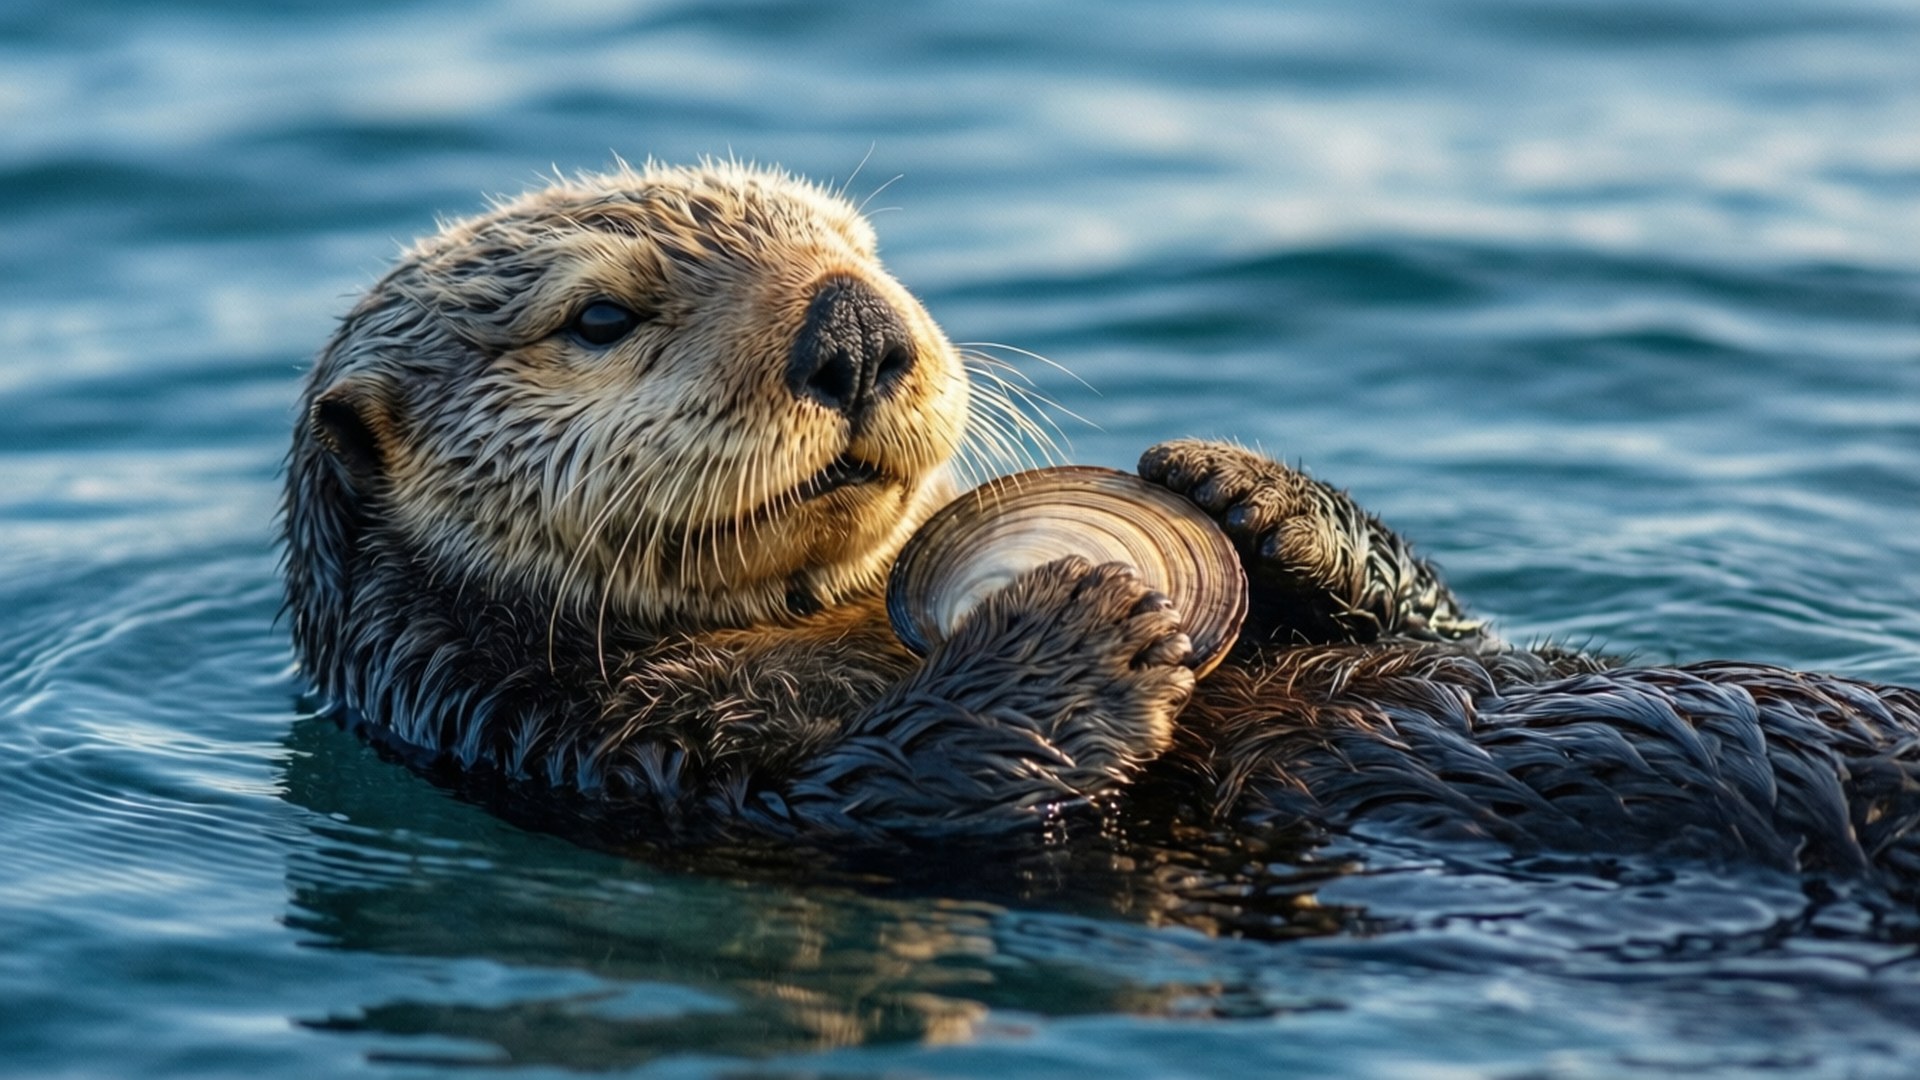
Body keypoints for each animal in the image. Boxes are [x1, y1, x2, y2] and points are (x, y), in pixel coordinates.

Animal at [284, 161, 1920, 893]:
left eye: (860, 245)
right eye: (600, 318)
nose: (855, 324)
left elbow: (1458, 623)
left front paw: (1239, 486)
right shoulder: (619, 757)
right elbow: (910, 785)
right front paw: (1072, 617)